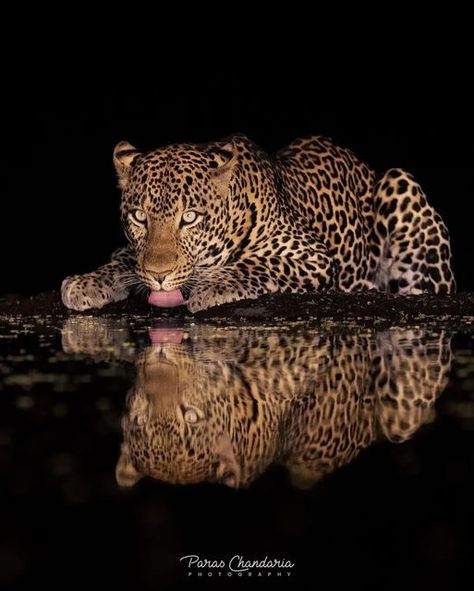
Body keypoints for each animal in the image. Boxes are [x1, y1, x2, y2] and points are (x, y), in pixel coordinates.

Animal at [60, 135, 456, 314]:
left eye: (189, 217)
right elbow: (124, 259)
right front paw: (86, 282)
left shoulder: (313, 257)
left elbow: (257, 264)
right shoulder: (130, 250)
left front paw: (210, 285)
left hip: (400, 182)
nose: (159, 276)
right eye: (139, 217)